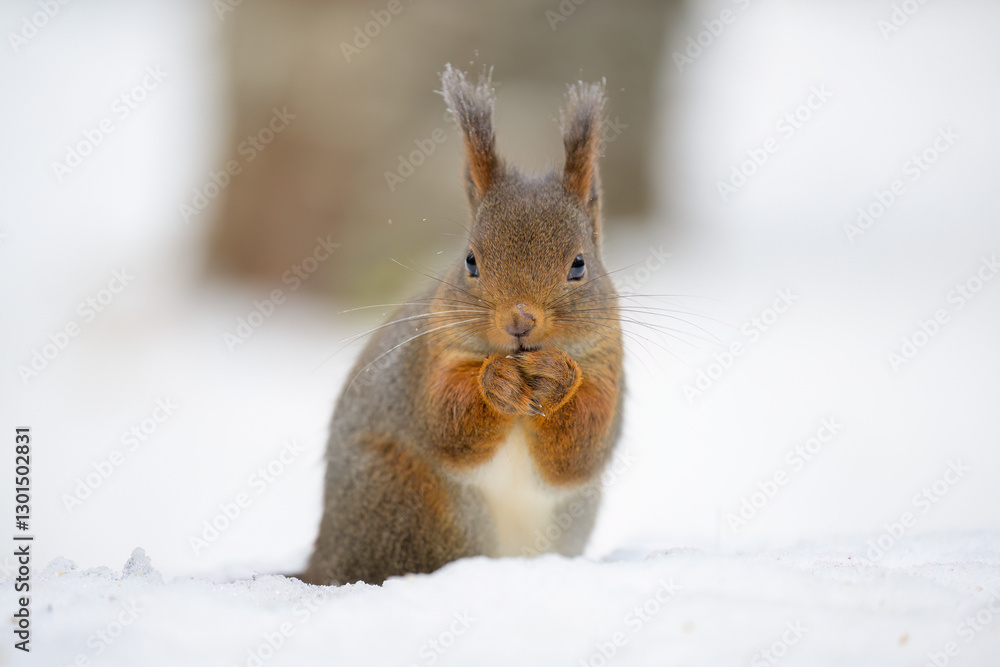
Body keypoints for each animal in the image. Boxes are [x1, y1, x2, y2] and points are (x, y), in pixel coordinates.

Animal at [301, 64, 624, 585]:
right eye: (470, 261)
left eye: (579, 265)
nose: (520, 320)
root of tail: (324, 559)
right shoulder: (429, 356)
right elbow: (446, 421)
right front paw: (496, 380)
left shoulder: (607, 365)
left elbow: (580, 449)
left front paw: (557, 379)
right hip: (405, 500)